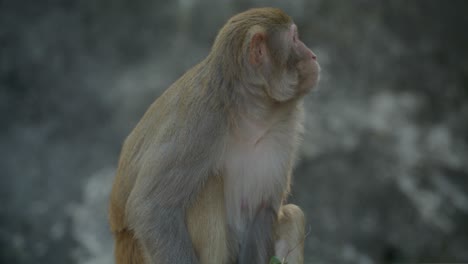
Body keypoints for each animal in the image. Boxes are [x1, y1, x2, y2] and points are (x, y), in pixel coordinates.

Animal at [109, 6, 322, 264]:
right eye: (294, 38)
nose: (313, 56)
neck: (250, 112)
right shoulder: (200, 124)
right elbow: (150, 209)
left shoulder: (284, 130)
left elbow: (264, 209)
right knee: (208, 186)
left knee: (293, 214)